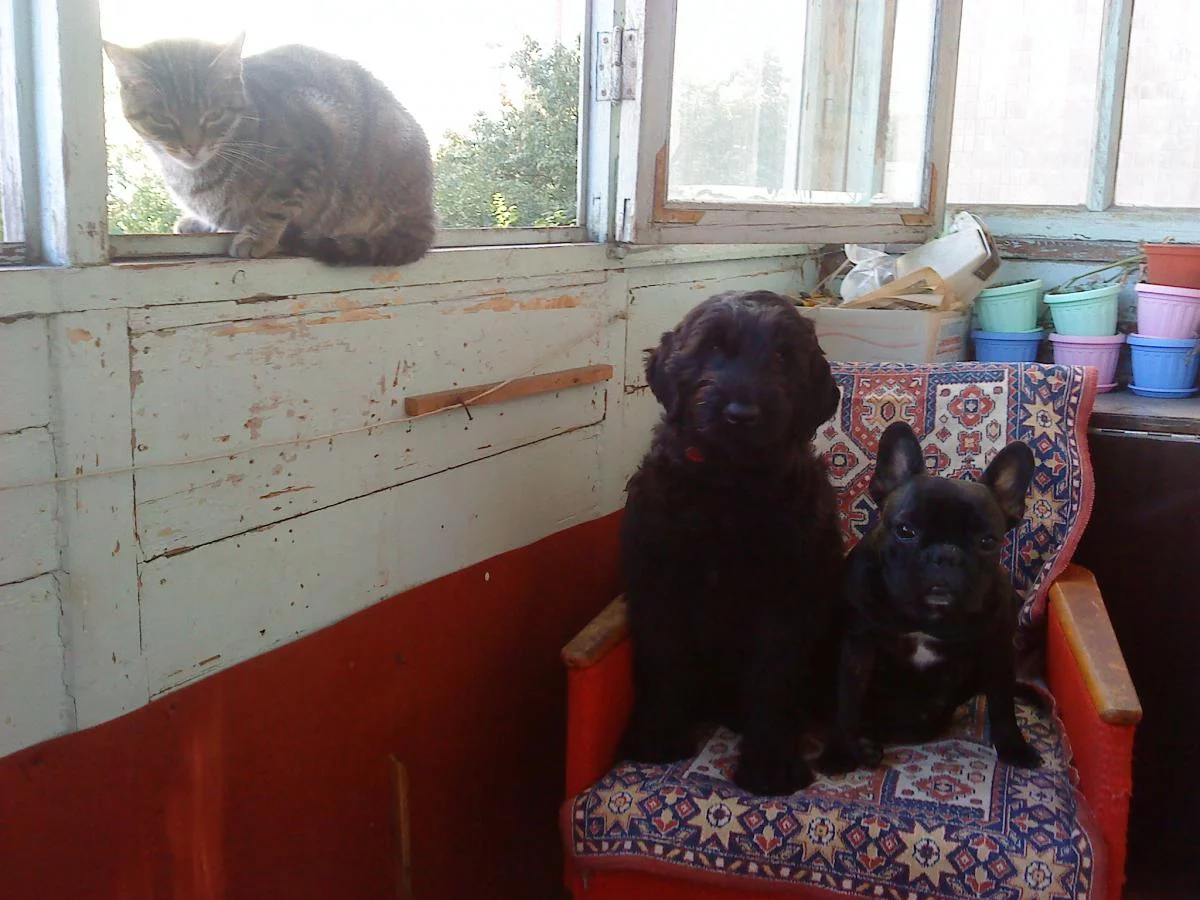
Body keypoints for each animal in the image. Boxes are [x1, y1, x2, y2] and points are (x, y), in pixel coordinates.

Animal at [104, 34, 436, 266]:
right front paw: (198, 222)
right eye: (162, 118)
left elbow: (277, 203)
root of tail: (426, 207)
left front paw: (257, 236)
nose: (191, 146)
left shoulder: (314, 141)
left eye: (214, 115)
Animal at [618, 290, 844, 795]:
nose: (740, 414)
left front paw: (771, 763)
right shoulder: (657, 586)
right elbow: (663, 658)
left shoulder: (787, 600)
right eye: (714, 347)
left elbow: (774, 678)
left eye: (782, 357)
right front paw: (660, 736)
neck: (727, 482)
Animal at [818, 421, 1042, 774]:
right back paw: (864, 747)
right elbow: (848, 701)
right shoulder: (858, 646)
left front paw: (1013, 746)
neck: (925, 617)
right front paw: (839, 752)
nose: (945, 555)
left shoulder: (997, 649)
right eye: (905, 531)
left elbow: (1002, 703)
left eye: (987, 541)